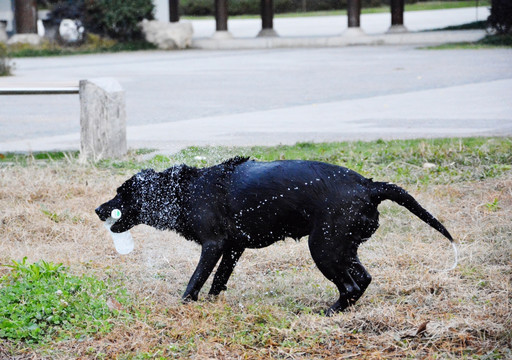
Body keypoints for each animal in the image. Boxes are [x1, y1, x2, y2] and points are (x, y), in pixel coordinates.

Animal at [95, 158, 452, 316]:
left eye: (121, 193)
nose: (98, 209)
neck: (184, 191)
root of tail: (369, 185)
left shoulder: (213, 245)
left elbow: (195, 281)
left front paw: (185, 305)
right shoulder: (233, 247)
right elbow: (218, 280)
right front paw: (214, 302)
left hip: (323, 247)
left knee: (350, 285)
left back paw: (328, 312)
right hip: (343, 246)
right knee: (362, 279)